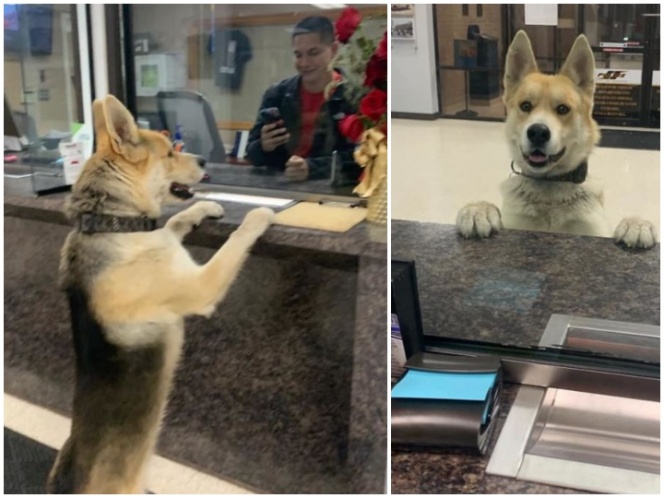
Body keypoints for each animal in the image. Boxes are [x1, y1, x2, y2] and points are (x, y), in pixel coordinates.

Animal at [47, 95, 274, 492]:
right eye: (169, 153)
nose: (203, 162)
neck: (112, 224)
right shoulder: (201, 286)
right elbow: (234, 241)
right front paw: (257, 217)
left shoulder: (165, 237)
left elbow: (174, 221)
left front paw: (205, 207)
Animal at [454, 31, 656, 249]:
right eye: (525, 106)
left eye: (562, 109)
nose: (538, 132)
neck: (549, 185)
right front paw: (478, 209)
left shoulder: (596, 231)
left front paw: (636, 223)